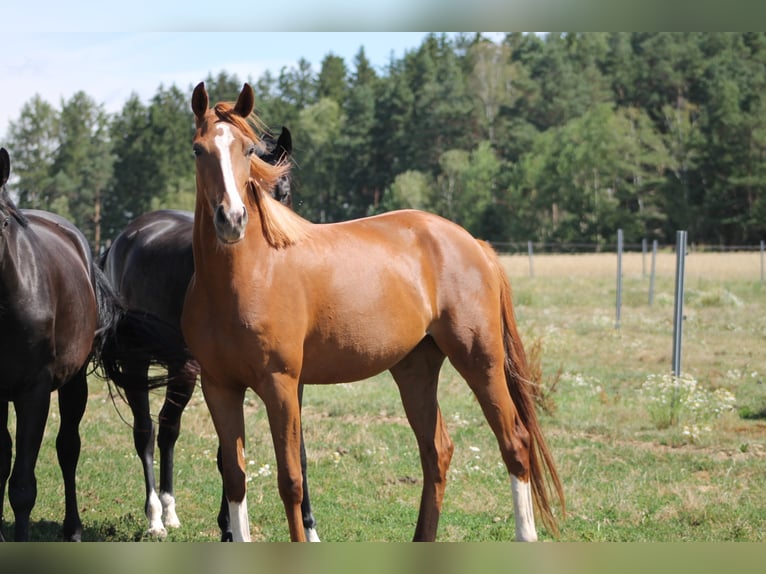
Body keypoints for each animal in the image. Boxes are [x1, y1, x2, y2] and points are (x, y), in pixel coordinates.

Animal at [0, 147, 119, 540]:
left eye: (2, 223)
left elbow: (23, 485)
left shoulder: (34, 392)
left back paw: (73, 529)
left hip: (74, 382)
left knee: (68, 448)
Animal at [100, 128, 320, 544]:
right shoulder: (219, 378)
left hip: (181, 370)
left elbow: (295, 451)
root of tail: (122, 238)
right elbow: (226, 455)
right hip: (142, 364)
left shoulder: (290, 379)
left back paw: (170, 511)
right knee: (146, 431)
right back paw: (155, 517)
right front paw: (229, 529)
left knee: (169, 429)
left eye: (282, 190)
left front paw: (310, 529)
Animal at [183, 82, 568, 544]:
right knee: (437, 451)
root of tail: (473, 243)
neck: (248, 275)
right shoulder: (219, 388)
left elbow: (291, 479)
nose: (232, 219)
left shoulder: (281, 385)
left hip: (481, 360)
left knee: (514, 441)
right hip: (415, 368)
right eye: (198, 150)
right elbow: (235, 479)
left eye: (246, 149)